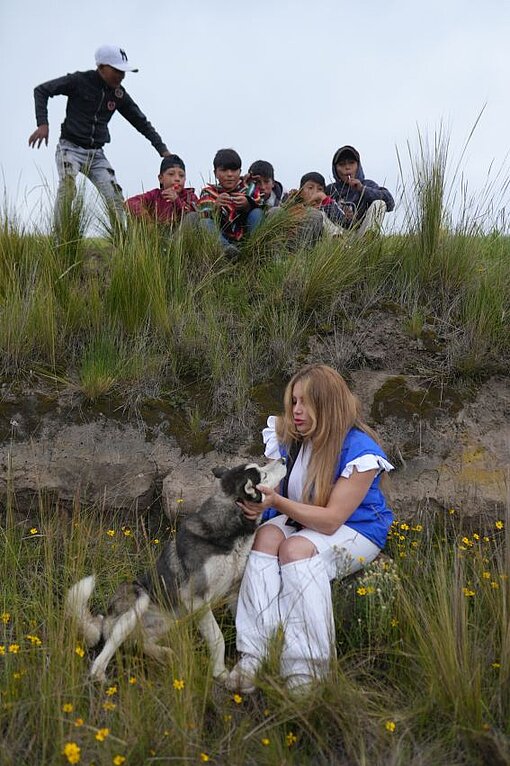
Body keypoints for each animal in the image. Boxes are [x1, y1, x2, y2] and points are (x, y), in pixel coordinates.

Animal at [65, 462, 284, 684]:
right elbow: (217, 637)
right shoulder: (196, 599)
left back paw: (164, 654)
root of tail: (105, 619)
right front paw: (219, 671)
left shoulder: (233, 592)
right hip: (140, 598)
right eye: (263, 474)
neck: (229, 532)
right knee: (110, 645)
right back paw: (100, 675)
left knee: (138, 643)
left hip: (169, 620)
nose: (283, 460)